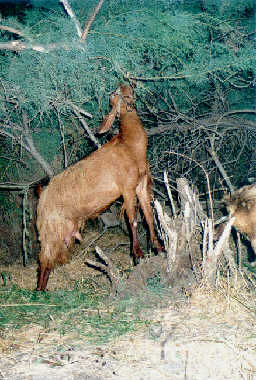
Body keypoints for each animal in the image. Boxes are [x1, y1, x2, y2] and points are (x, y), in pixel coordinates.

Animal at [36, 84, 163, 290]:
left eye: (130, 90)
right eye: (116, 94)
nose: (130, 103)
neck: (130, 146)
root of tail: (42, 195)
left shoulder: (141, 186)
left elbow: (149, 217)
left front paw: (159, 248)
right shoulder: (127, 188)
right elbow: (133, 220)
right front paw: (138, 254)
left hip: (65, 232)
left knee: (49, 259)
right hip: (51, 227)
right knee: (43, 258)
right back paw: (39, 291)